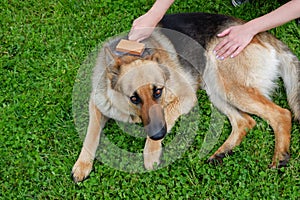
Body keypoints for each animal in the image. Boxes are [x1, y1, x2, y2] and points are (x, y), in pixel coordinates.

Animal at [71, 12, 298, 183]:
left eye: (158, 91)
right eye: (134, 98)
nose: (158, 134)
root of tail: (258, 32)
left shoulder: (185, 97)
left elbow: (167, 114)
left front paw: (151, 152)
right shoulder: (97, 104)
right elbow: (91, 134)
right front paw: (82, 165)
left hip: (227, 86)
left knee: (281, 114)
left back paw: (280, 157)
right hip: (214, 87)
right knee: (245, 121)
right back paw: (221, 152)